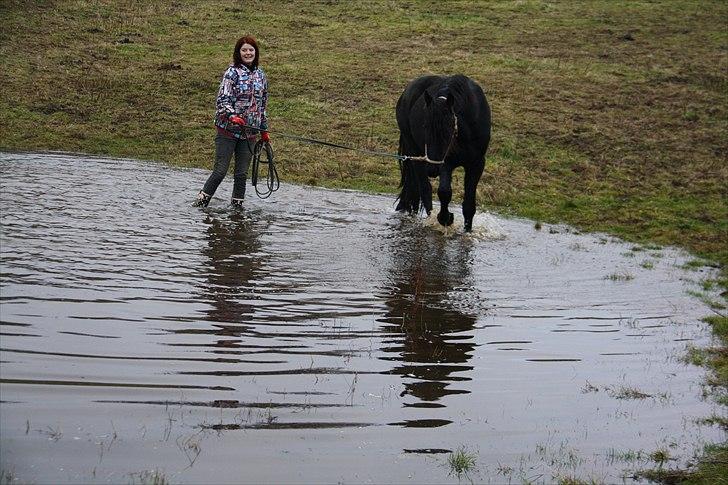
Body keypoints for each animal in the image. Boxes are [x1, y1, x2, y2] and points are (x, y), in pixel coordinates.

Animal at [396, 74, 492, 232]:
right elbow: (444, 192)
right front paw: (445, 218)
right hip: (415, 152)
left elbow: (469, 205)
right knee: (425, 189)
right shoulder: (445, 163)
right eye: (425, 126)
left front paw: (467, 231)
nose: (432, 169)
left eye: (448, 129)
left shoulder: (476, 164)